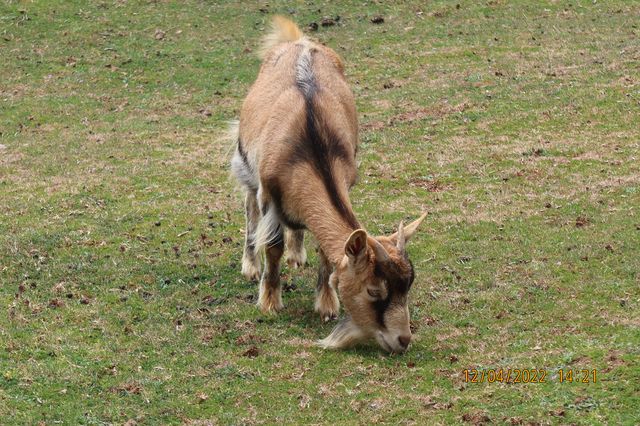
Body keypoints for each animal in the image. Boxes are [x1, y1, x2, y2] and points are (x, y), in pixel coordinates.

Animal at [230, 16, 427, 353]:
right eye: (373, 291)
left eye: (408, 286)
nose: (402, 340)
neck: (312, 147)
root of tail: (298, 41)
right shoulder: (269, 194)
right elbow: (273, 244)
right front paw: (269, 301)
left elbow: (323, 247)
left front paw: (326, 305)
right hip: (246, 166)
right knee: (250, 210)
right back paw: (250, 265)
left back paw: (297, 255)